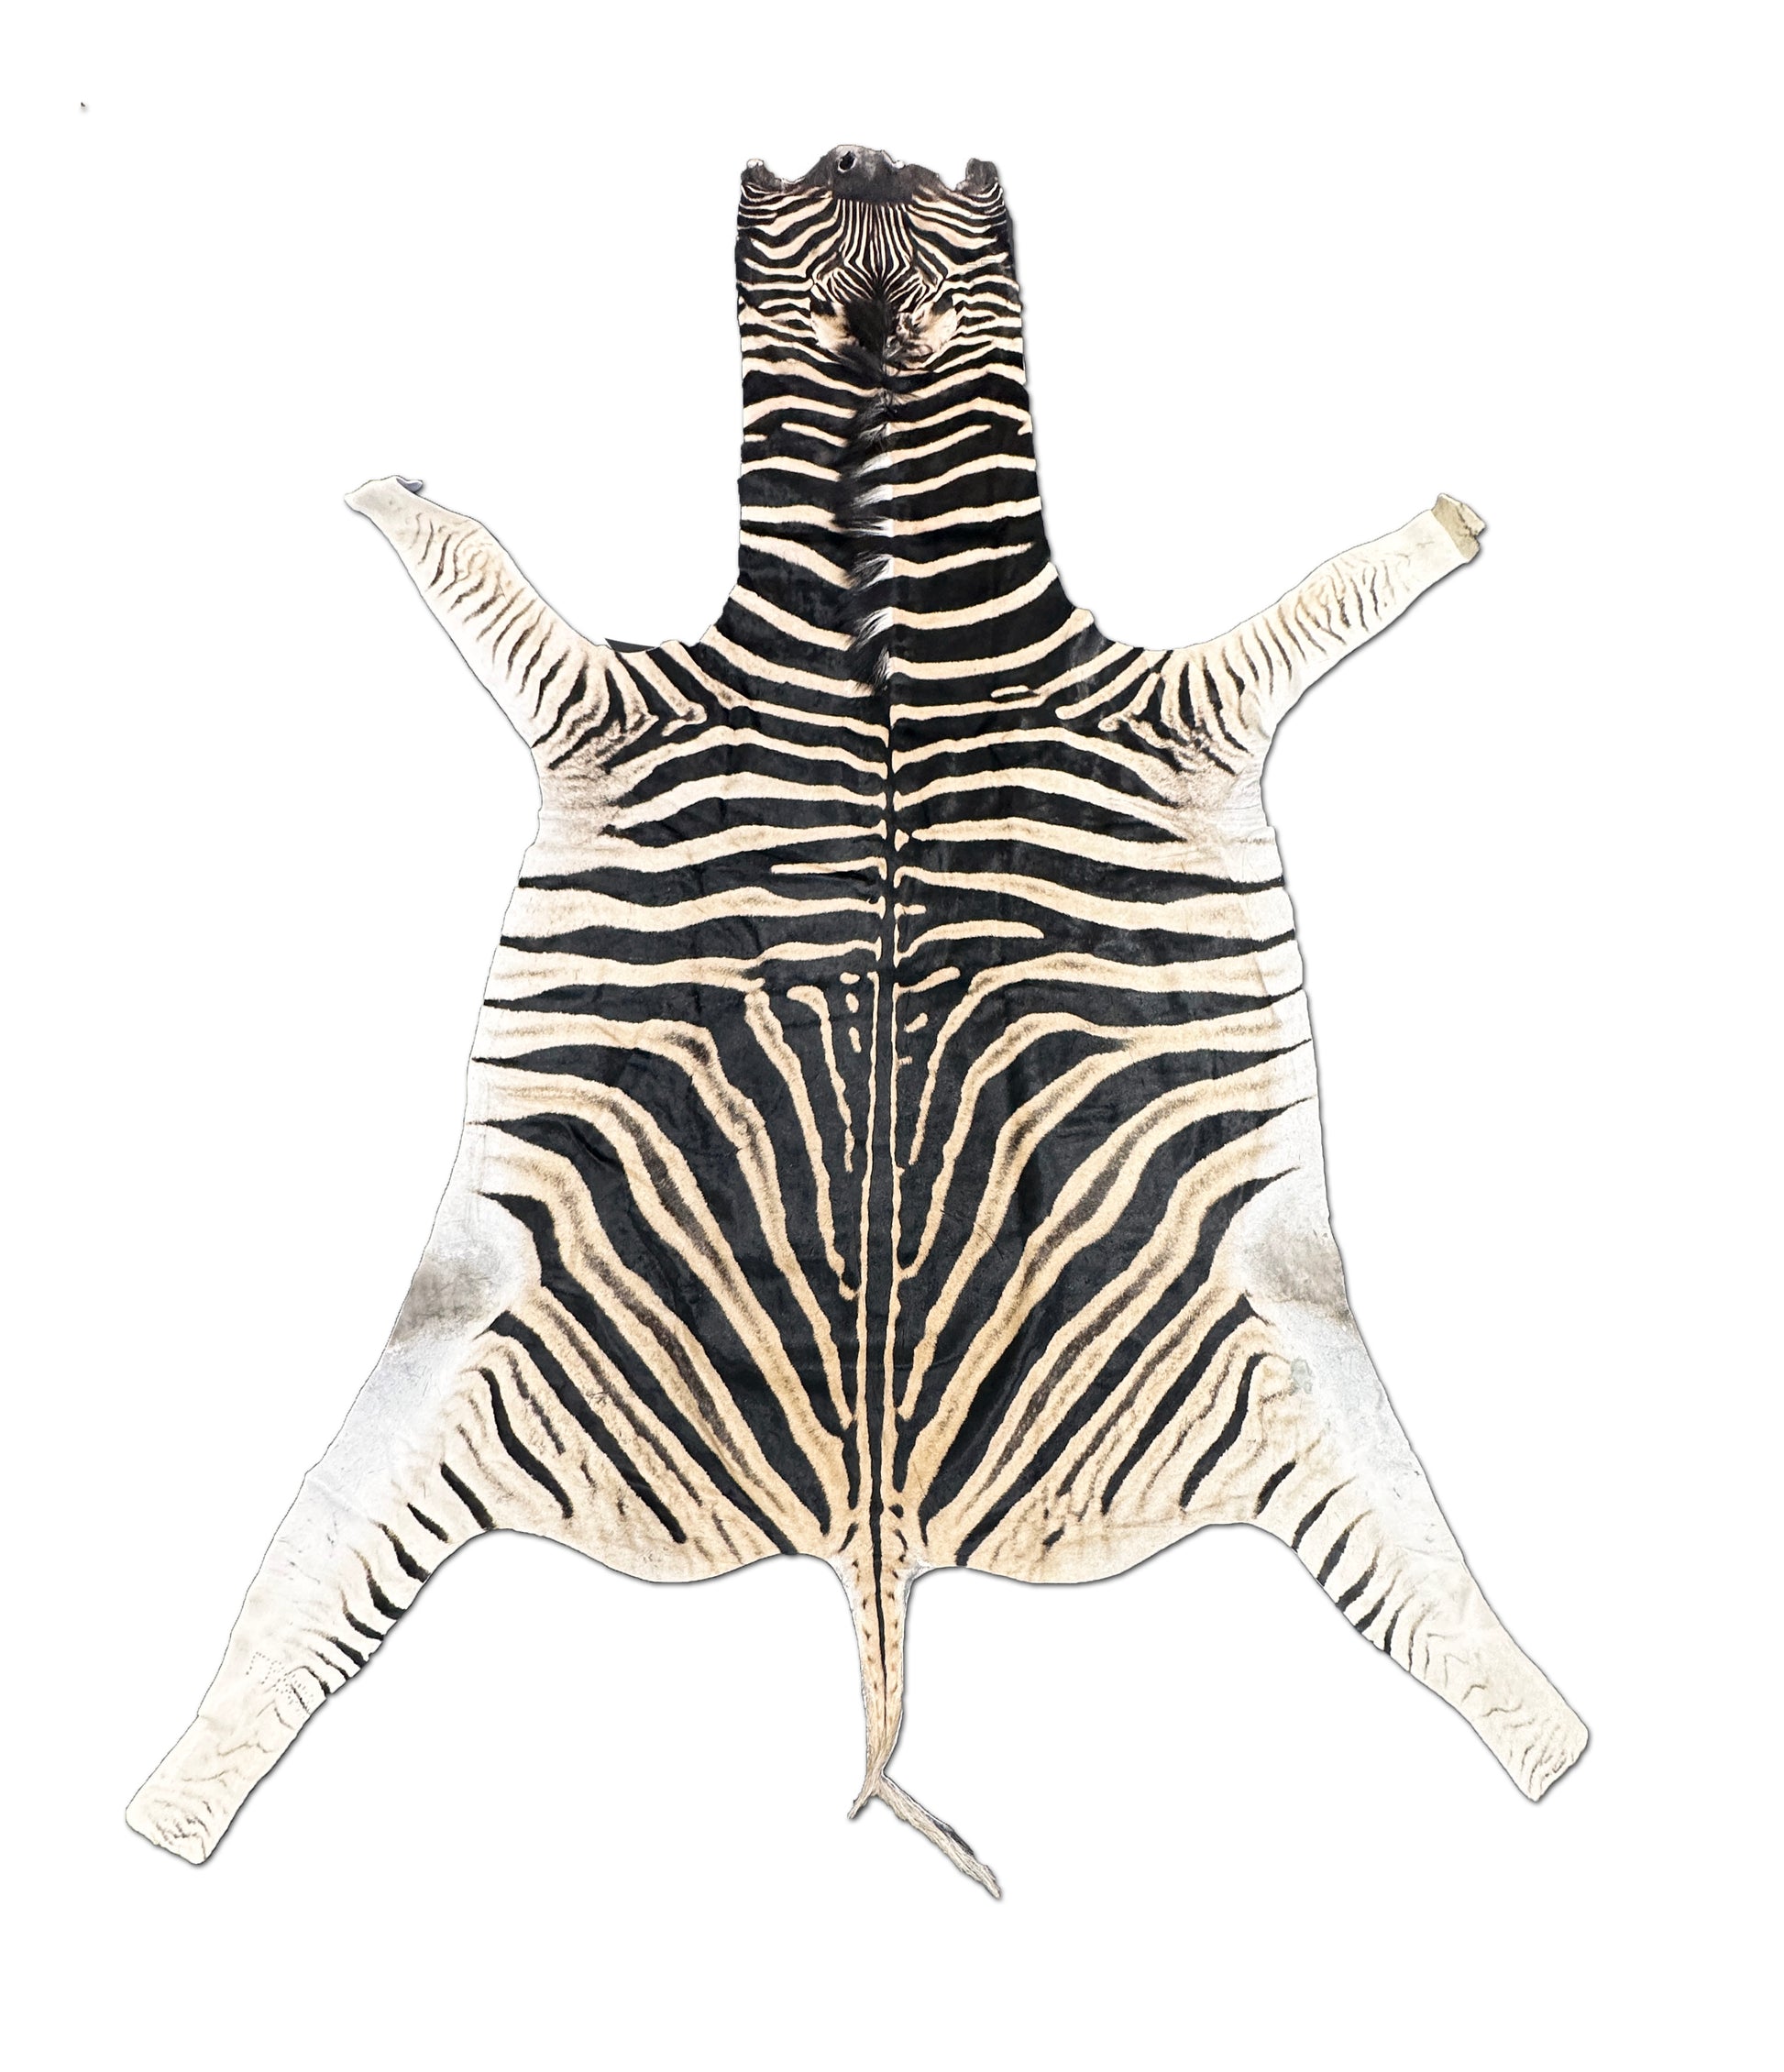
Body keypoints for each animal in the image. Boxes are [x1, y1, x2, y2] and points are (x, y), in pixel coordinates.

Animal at [127, 144, 1586, 1894]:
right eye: (807, 198)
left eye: (956, 196)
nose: (866, 145)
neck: (873, 610)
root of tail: (873, 1541)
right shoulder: (604, 698)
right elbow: (466, 561)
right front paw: (389, 492)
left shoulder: (1186, 698)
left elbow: (1342, 583)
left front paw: (1451, 521)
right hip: (452, 1372)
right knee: (294, 1613)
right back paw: (161, 1818)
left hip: (1291, 1372)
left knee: (1447, 1630)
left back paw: (1564, 1747)